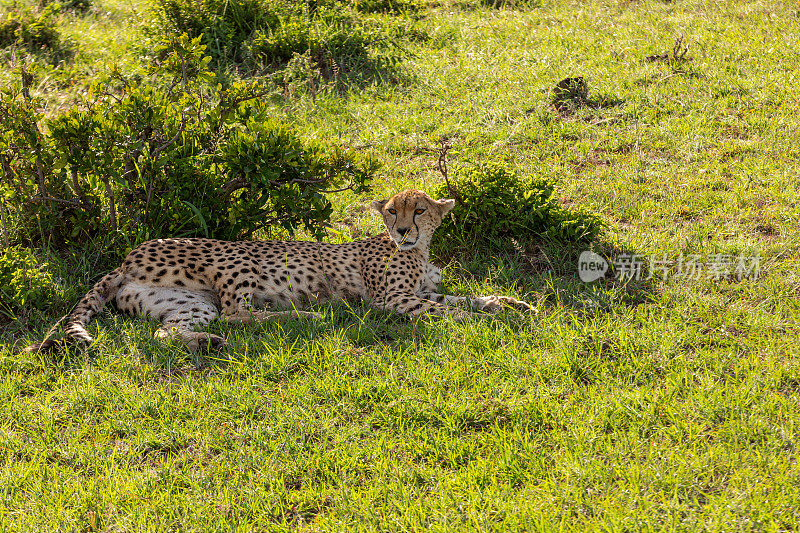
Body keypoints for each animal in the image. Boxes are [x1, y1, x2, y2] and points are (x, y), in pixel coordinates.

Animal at [26, 189, 532, 352]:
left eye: (420, 210)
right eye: (392, 212)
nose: (404, 229)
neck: (419, 250)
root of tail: (126, 257)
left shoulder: (423, 290)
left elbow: (464, 297)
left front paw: (510, 305)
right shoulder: (393, 301)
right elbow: (448, 310)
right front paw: (479, 320)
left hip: (187, 303)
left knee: (169, 332)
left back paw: (207, 343)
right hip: (236, 260)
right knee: (239, 313)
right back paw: (309, 316)